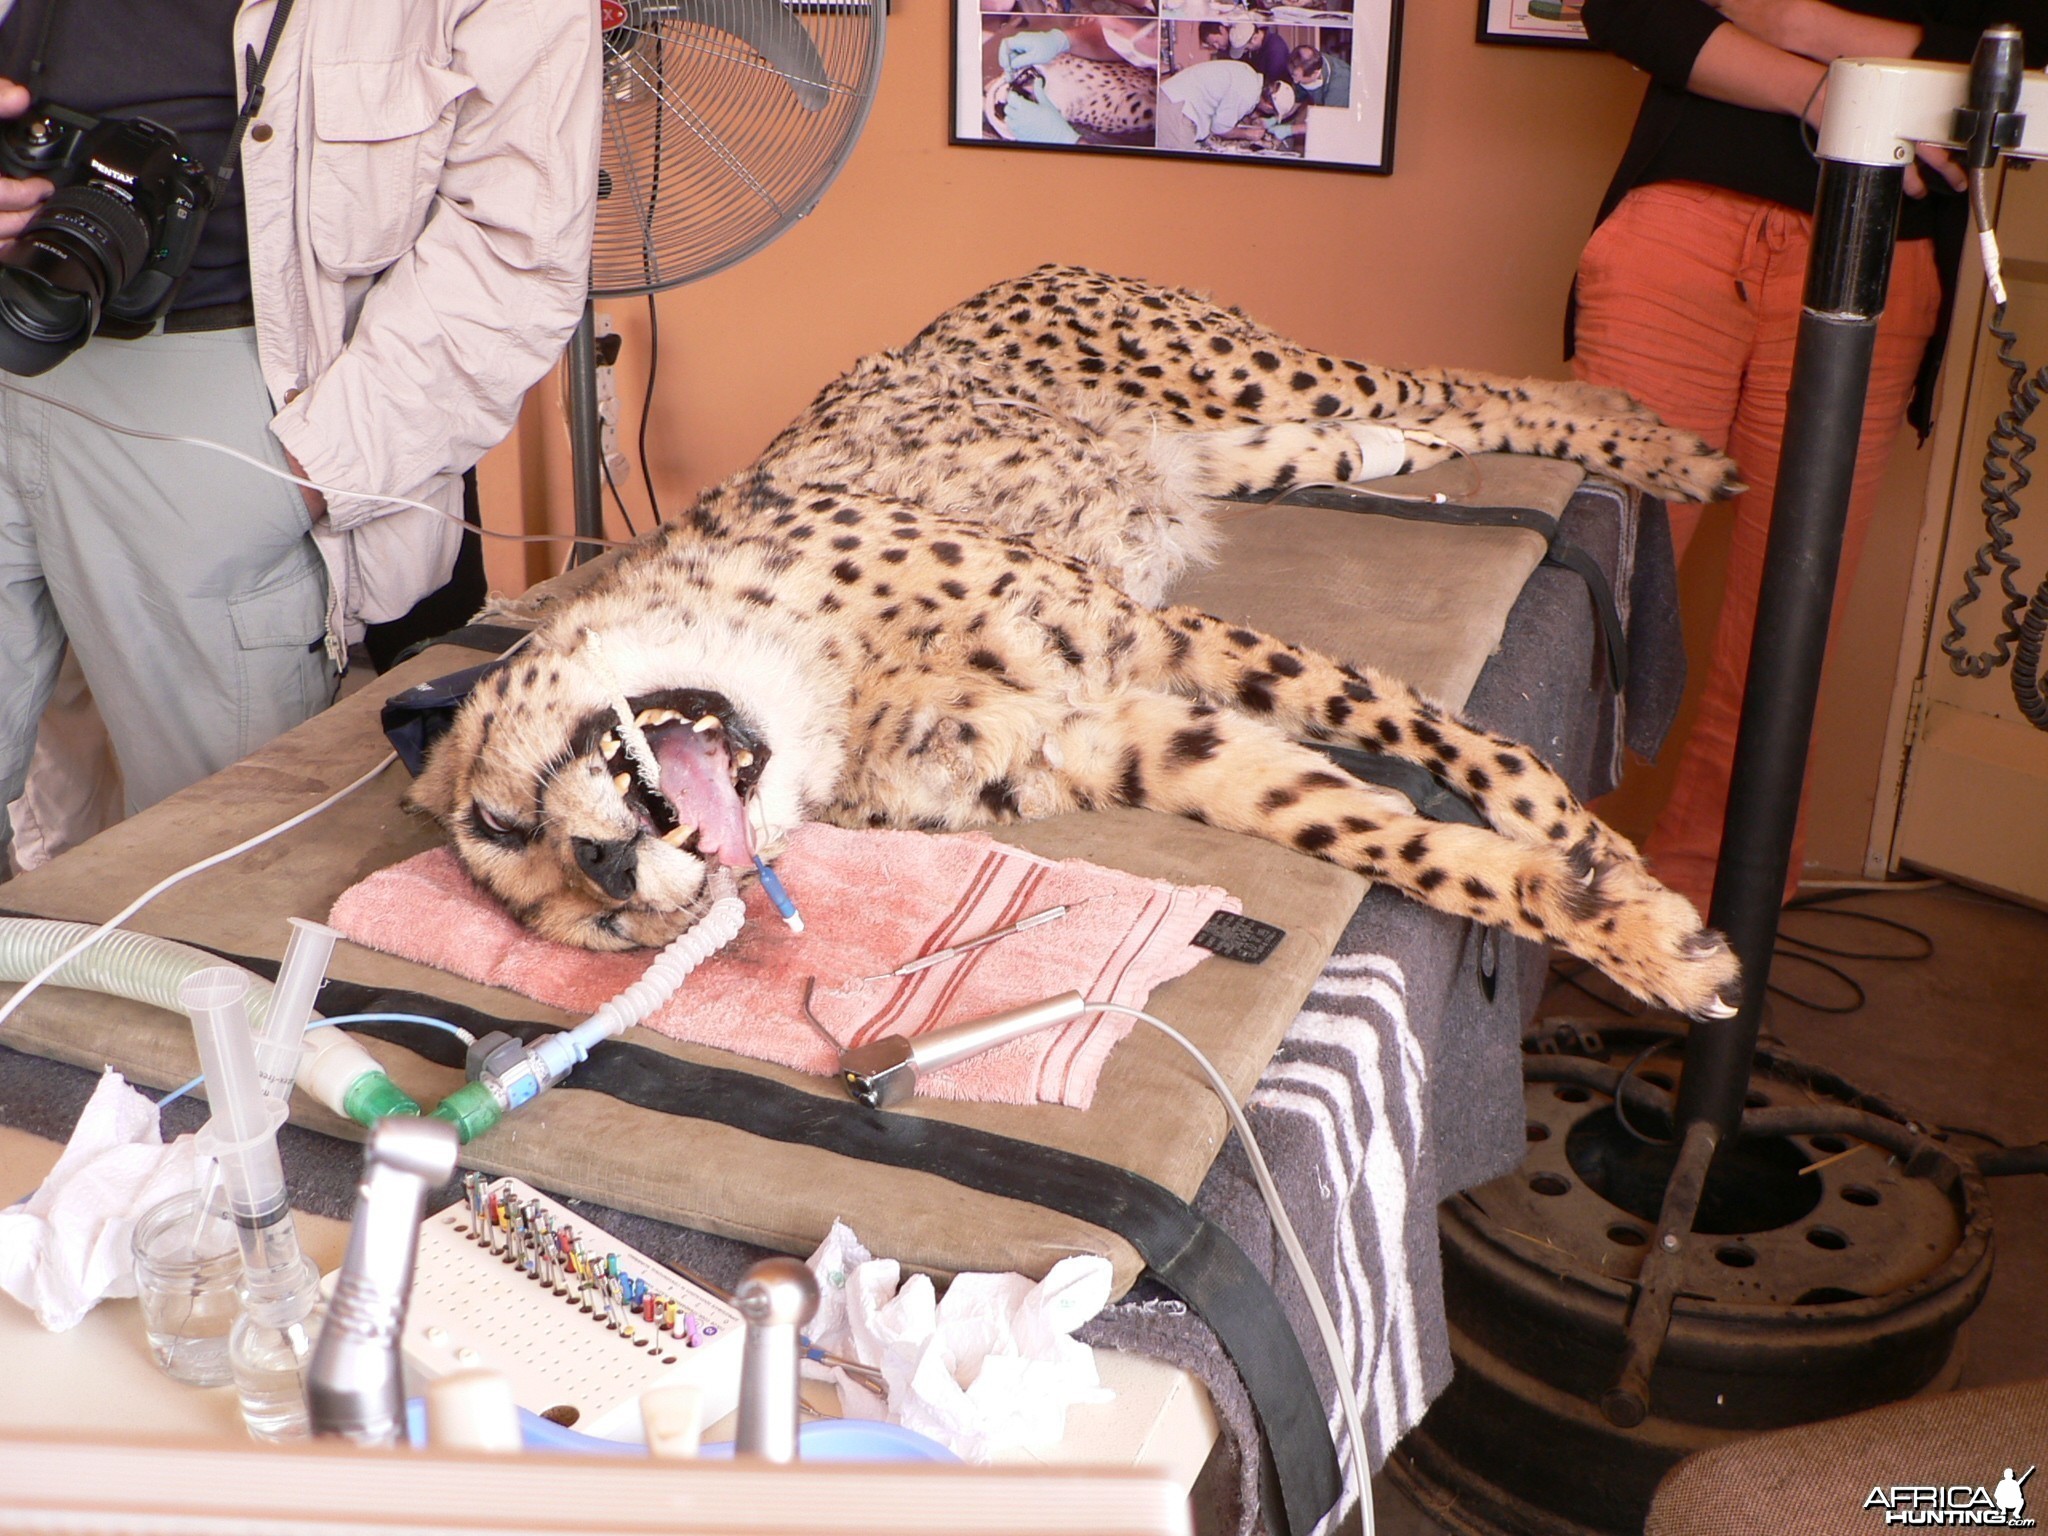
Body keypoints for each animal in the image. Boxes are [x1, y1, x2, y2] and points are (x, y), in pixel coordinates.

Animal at [411, 266, 1744, 1024]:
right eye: (601, 935)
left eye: (504, 819)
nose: (606, 869)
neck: (824, 681)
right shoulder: (1121, 734)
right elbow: (1366, 829)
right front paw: (1626, 929)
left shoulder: (1142, 632)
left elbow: (1461, 749)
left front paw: (1592, 855)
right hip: (1267, 446)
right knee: (1431, 423)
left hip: (1259, 380)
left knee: (1467, 386)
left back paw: (1663, 445)